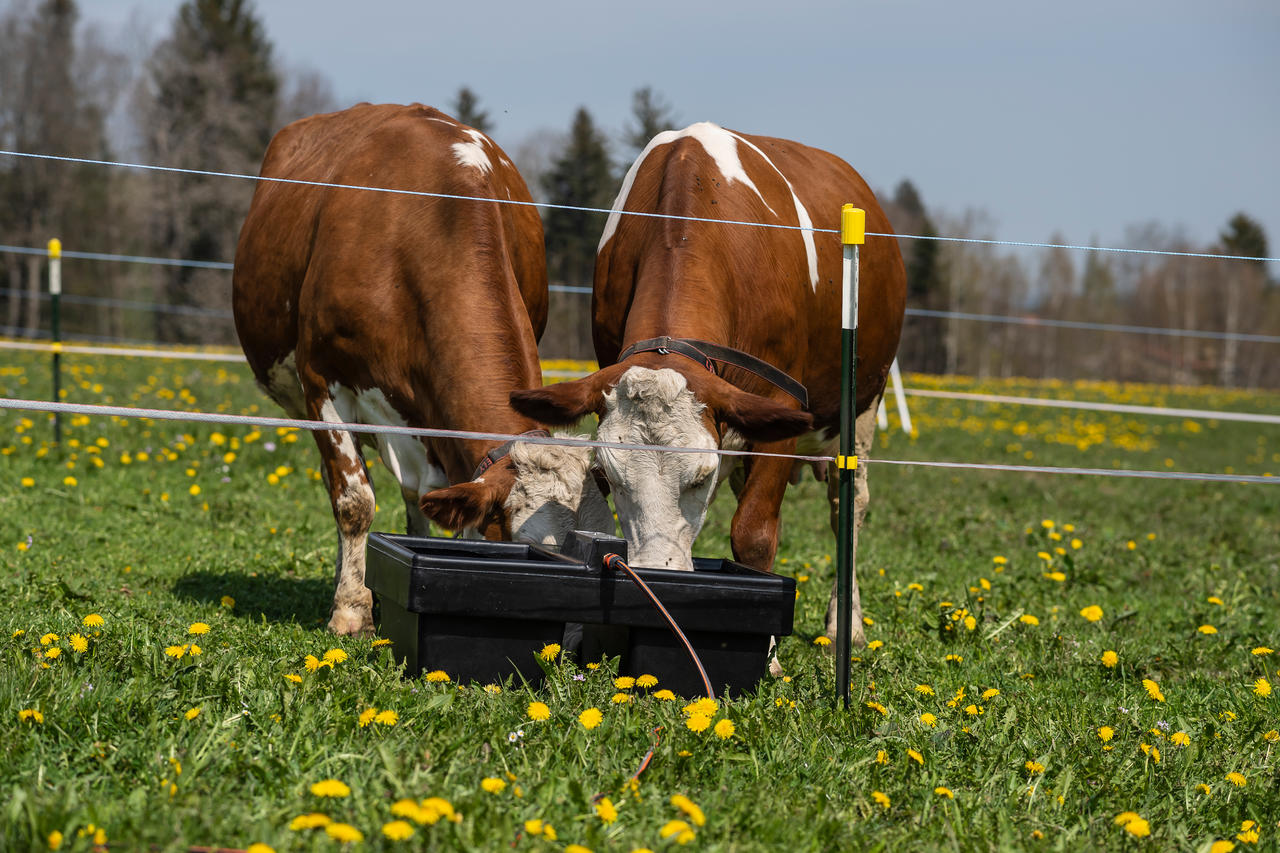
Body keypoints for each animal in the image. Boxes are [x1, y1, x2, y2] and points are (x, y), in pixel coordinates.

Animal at [504, 117, 906, 637]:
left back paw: (846, 624)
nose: (656, 570)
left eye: (700, 475)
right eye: (607, 477)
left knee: (848, 504)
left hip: (862, 406)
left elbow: (754, 535)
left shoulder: (782, 410)